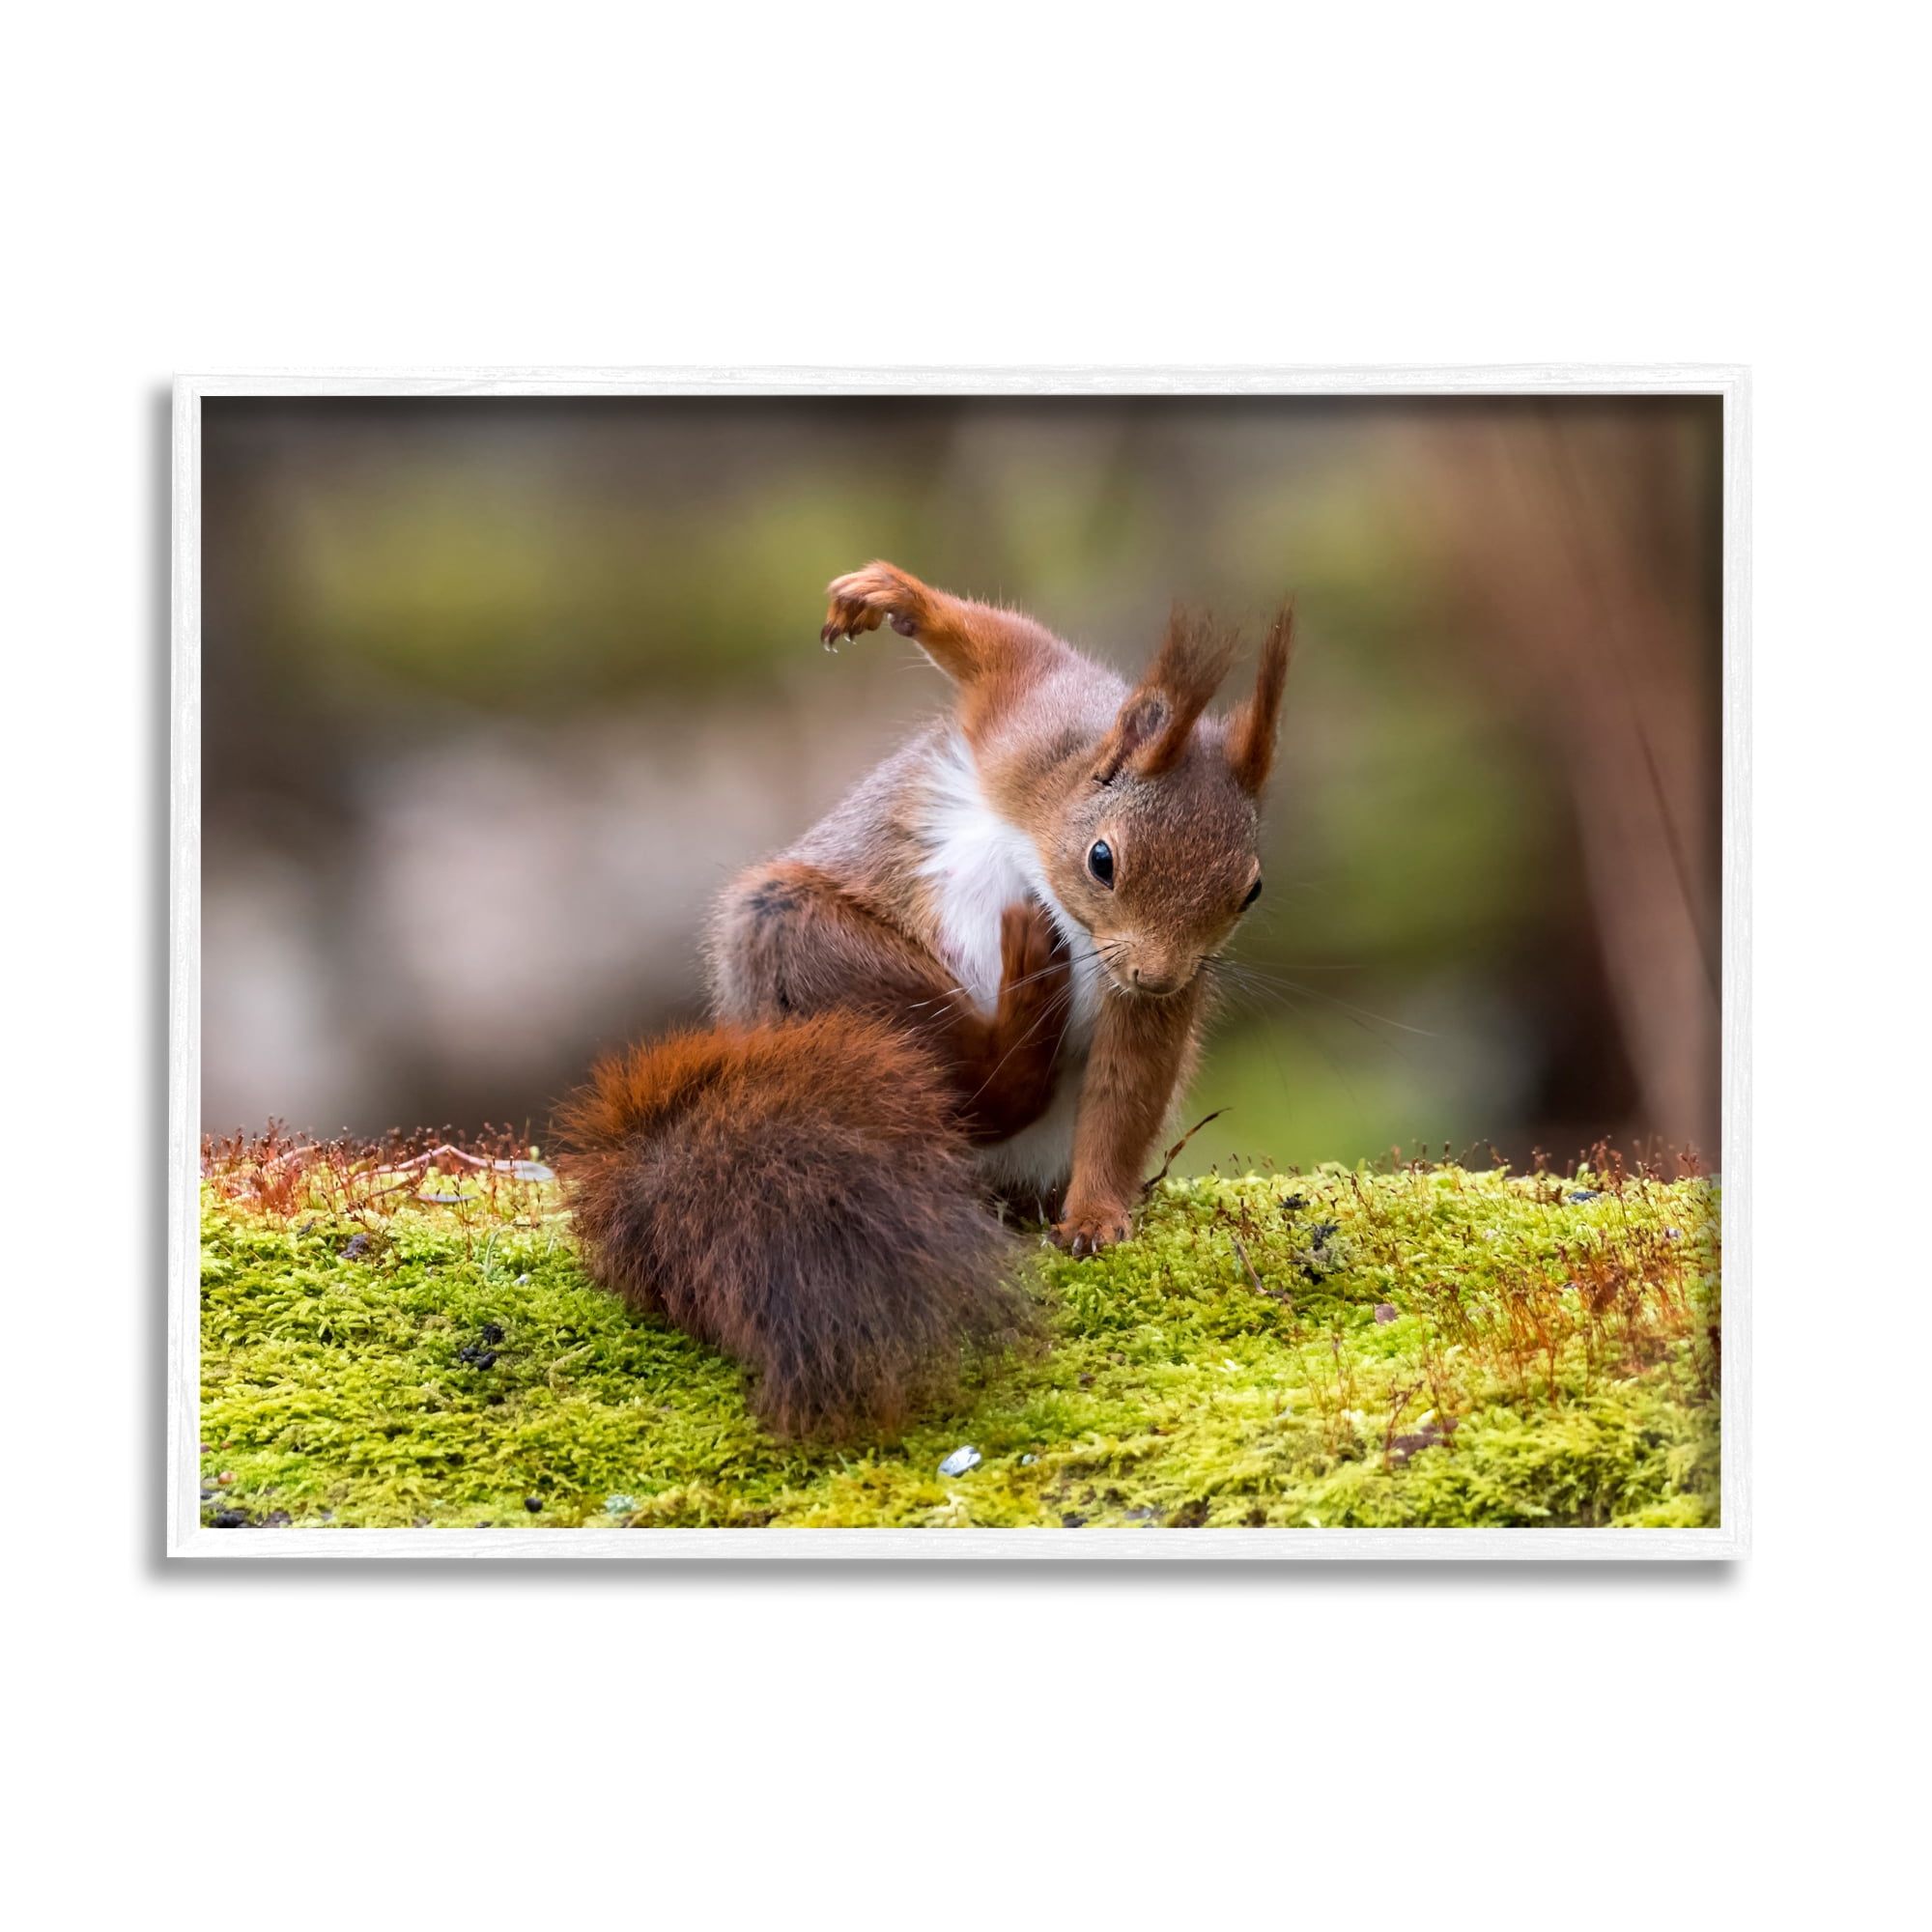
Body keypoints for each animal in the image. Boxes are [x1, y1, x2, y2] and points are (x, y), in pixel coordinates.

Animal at [558, 560, 1291, 1438]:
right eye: (1103, 859)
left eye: (1251, 891)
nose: (1158, 975)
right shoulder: (1029, 722)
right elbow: (1002, 645)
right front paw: (889, 597)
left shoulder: (1144, 998)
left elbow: (1126, 1094)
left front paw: (1094, 1217)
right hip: (799, 938)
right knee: (977, 1088)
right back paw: (1023, 997)